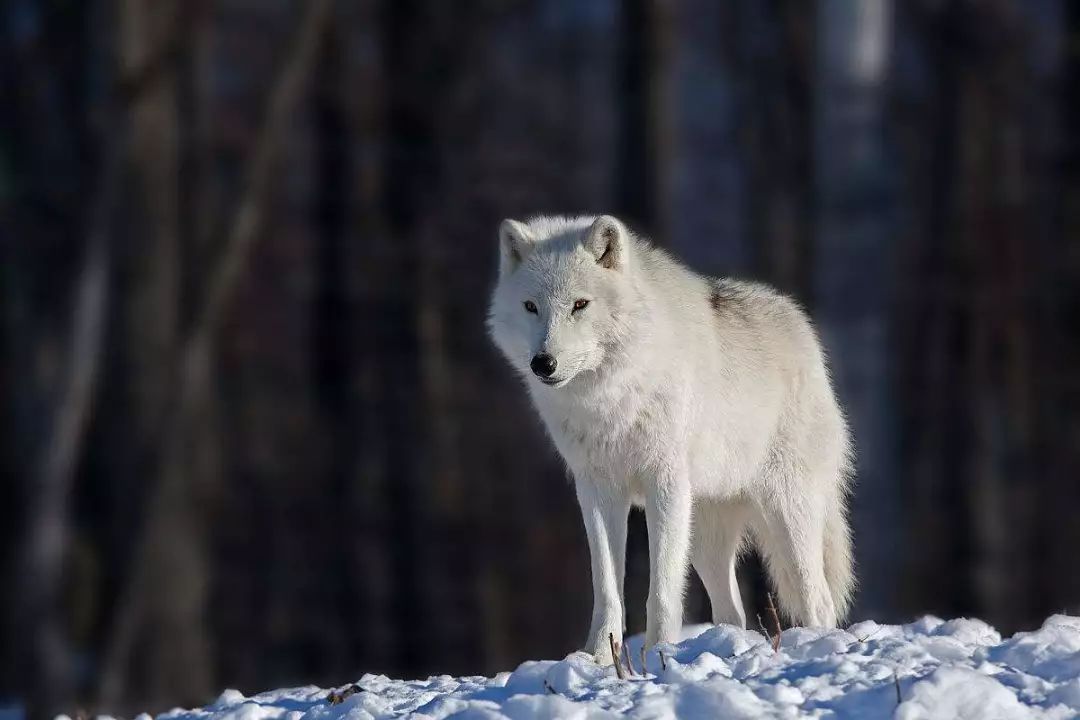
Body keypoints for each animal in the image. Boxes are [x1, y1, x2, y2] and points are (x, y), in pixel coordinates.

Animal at [488, 213, 851, 664]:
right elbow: (607, 588)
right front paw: (600, 659)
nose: (544, 363)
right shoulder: (597, 491)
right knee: (732, 611)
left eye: (579, 305)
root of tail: (801, 327)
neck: (610, 398)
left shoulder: (664, 484)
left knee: (818, 599)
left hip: (785, 513)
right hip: (704, 535)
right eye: (531, 306)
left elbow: (661, 591)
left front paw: (658, 655)